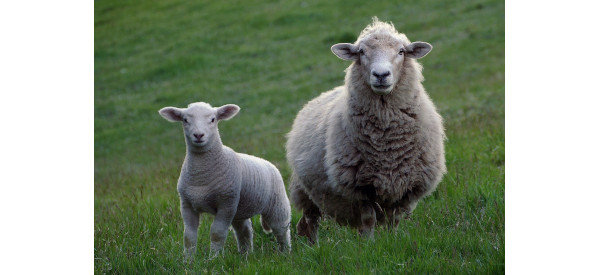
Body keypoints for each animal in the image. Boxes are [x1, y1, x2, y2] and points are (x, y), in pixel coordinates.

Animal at [159, 102, 290, 262]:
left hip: (277, 204)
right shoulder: (187, 204)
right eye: (185, 120)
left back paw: (285, 253)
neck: (201, 175)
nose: (198, 135)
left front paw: (213, 259)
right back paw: (245, 255)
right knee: (244, 231)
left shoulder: (226, 203)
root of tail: (268, 163)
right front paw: (188, 261)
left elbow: (217, 233)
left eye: (213, 119)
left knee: (281, 229)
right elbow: (188, 236)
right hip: (239, 210)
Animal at [286, 18, 446, 244]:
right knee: (311, 221)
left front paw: (391, 241)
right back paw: (314, 246)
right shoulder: (360, 187)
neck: (387, 143)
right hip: (305, 191)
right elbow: (369, 219)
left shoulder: (407, 187)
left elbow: (394, 220)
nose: (381, 75)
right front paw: (370, 245)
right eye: (361, 52)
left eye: (401, 51)